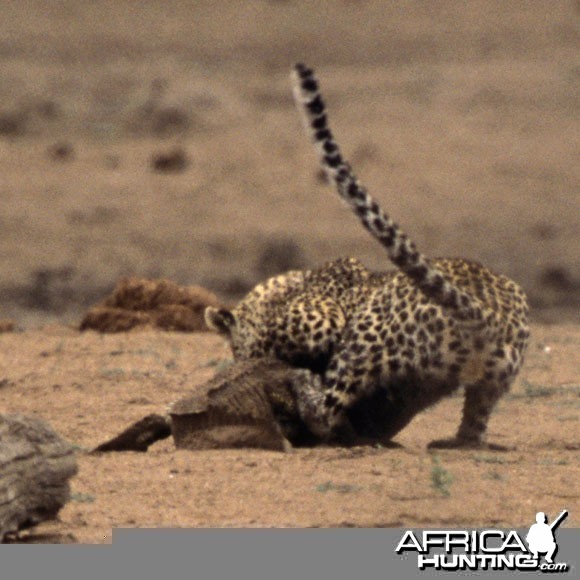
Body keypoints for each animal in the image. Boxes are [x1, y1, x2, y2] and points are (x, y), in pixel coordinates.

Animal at [205, 63, 532, 450]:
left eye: (234, 350)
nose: (239, 360)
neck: (285, 287)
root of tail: (488, 315)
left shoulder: (321, 321)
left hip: (363, 340)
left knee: (326, 410)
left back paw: (306, 386)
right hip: (492, 380)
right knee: (475, 423)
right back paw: (454, 441)